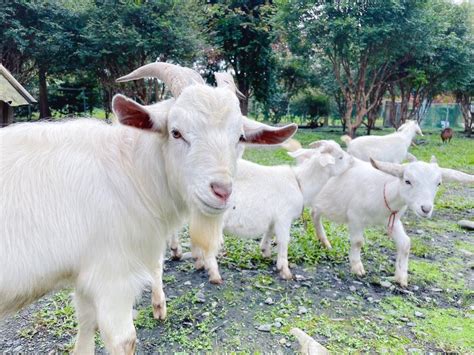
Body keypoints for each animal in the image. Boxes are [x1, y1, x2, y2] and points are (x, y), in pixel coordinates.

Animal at [0, 62, 296, 354]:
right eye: (176, 132)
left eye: (240, 138)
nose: (222, 191)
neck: (128, 170)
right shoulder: (113, 275)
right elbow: (124, 339)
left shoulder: (85, 273)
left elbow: (85, 325)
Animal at [165, 140, 354, 288]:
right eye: (340, 157)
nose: (352, 161)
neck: (299, 183)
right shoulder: (284, 218)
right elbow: (284, 241)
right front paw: (285, 270)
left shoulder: (273, 219)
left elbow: (269, 233)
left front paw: (265, 252)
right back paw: (213, 274)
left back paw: (191, 258)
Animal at [312, 157, 474, 288]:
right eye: (407, 181)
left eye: (439, 183)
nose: (426, 209)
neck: (385, 191)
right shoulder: (355, 217)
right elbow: (358, 242)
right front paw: (357, 268)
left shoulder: (393, 220)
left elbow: (405, 243)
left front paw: (401, 277)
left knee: (315, 214)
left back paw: (324, 242)